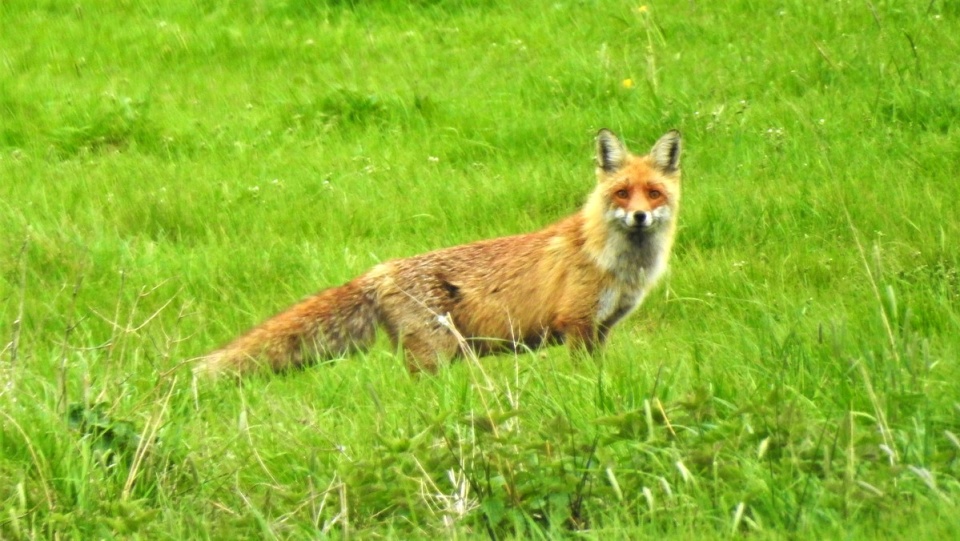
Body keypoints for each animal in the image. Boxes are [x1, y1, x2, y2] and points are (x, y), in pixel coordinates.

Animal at [197, 130, 684, 376]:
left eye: (653, 193)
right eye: (621, 193)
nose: (640, 216)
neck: (618, 265)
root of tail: (379, 270)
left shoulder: (602, 329)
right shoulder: (577, 324)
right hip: (437, 355)